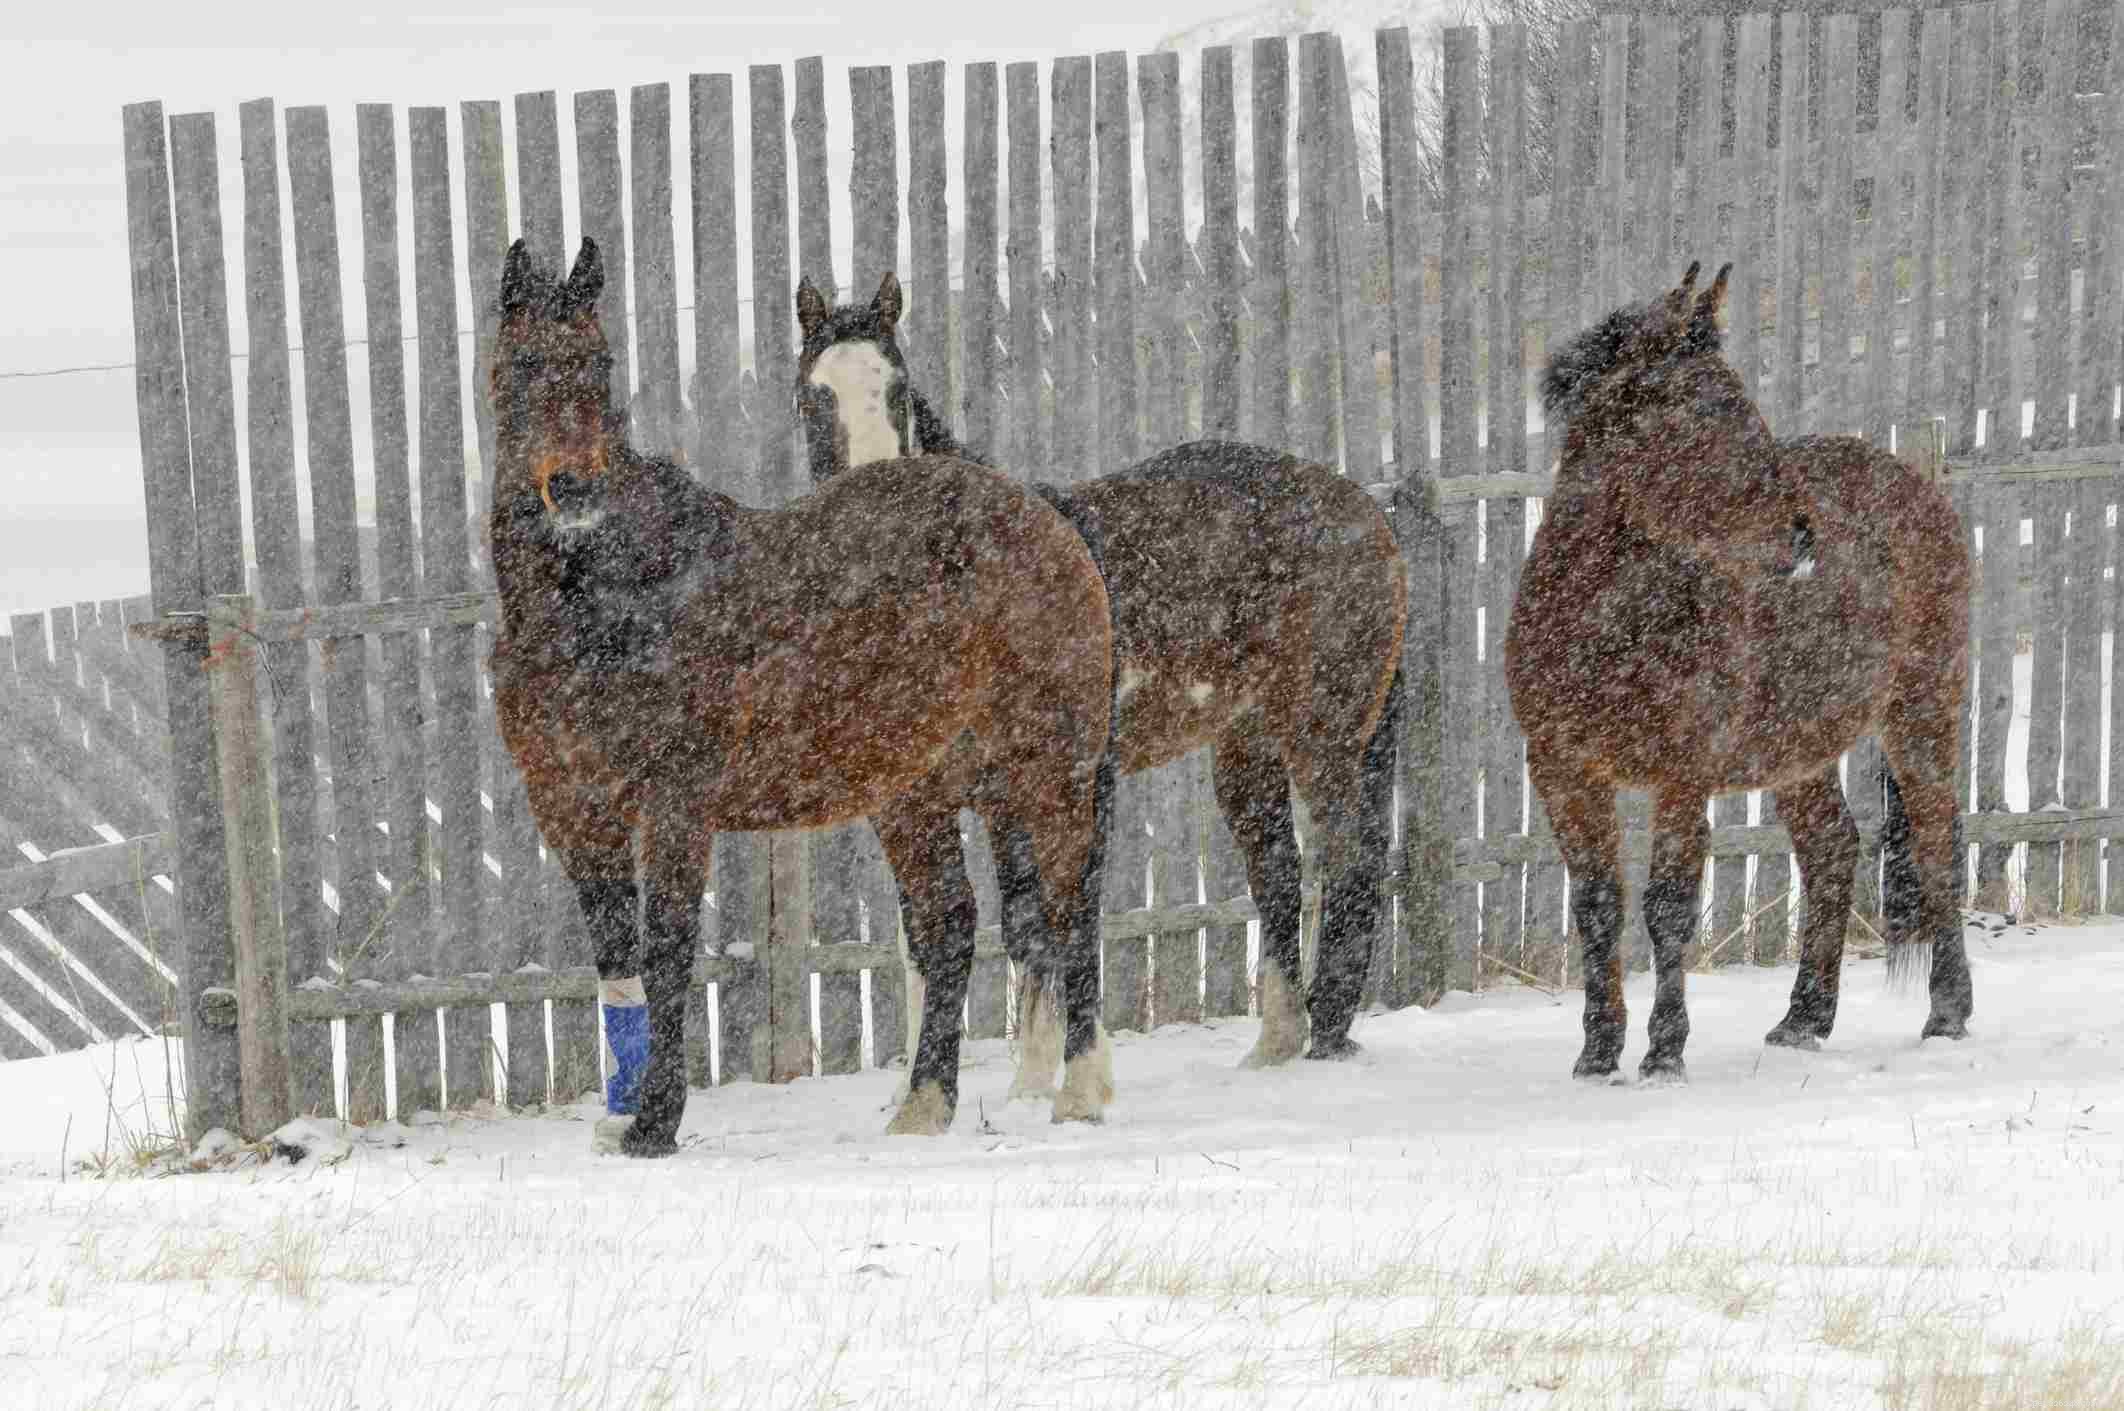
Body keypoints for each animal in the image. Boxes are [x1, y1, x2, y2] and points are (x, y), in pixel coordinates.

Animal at [487, 237, 1117, 1151]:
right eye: (520, 365)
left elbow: (666, 948)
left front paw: (656, 1119)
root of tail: (1046, 519)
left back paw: (1080, 1088)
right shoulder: (574, 813)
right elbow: (617, 962)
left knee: (1072, 908)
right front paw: (624, 1110)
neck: (608, 594)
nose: (572, 487)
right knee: (950, 920)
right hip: (917, 794)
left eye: (597, 365)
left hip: (1051, 774)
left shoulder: (674, 805)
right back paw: (925, 1101)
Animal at [793, 271, 1409, 1079]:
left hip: (1324, 738)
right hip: (1248, 749)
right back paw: (1275, 1045)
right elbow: (993, 930)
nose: (880, 522)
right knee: (1278, 871)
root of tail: (1364, 510)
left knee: (1349, 862)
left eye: (897, 390)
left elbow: (1046, 925)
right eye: (814, 397)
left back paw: (1327, 1036)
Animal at [1505, 260, 1974, 1085]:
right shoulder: (1562, 769)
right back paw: (1803, 1017)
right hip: (1798, 747)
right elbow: (1597, 905)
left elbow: (1667, 906)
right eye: (1706, 406)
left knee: (1937, 844)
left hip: (1921, 709)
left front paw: (1664, 1049)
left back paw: (1947, 1012)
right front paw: (1598, 1049)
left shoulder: (1680, 773)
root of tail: (1916, 484)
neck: (1601, 620)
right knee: (1832, 850)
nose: (1801, 534)